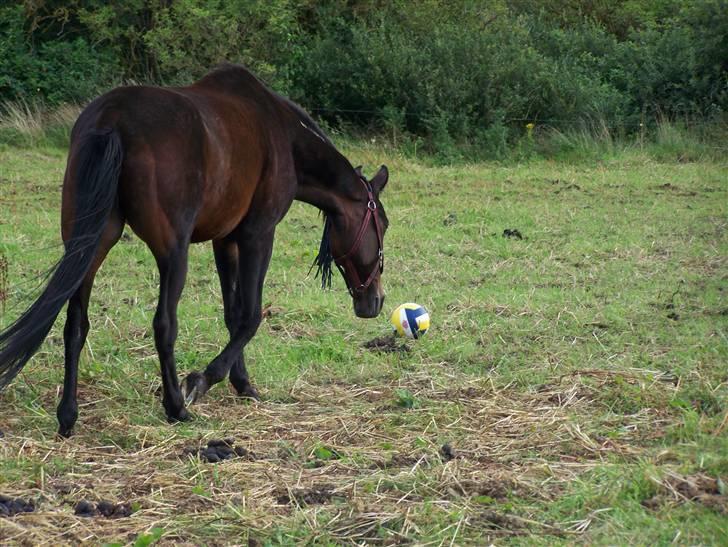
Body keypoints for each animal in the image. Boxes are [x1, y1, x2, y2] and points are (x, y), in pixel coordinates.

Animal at [0, 64, 390, 438]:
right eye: (382, 225)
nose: (376, 300)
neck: (285, 137)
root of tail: (112, 120)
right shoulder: (258, 236)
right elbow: (250, 316)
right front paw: (202, 381)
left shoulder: (225, 241)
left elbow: (233, 314)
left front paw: (242, 383)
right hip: (172, 254)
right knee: (164, 324)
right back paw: (176, 406)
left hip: (90, 245)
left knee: (75, 326)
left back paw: (68, 415)